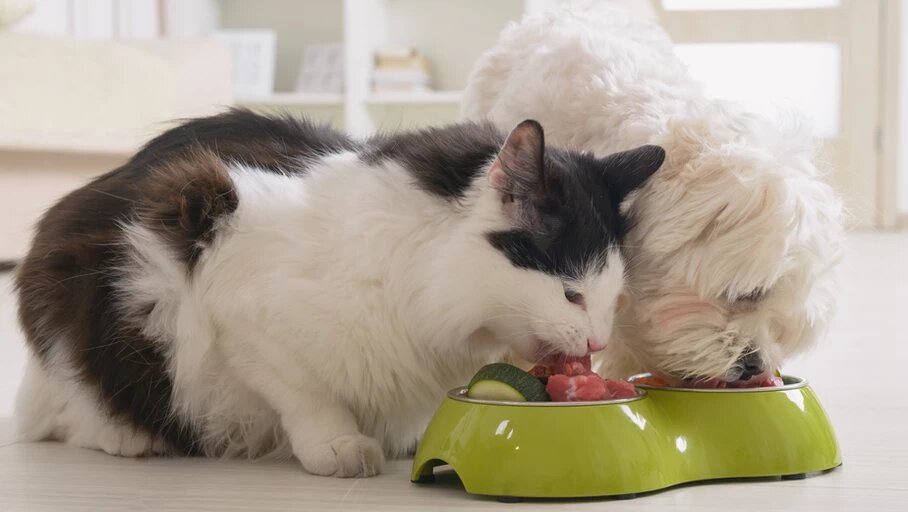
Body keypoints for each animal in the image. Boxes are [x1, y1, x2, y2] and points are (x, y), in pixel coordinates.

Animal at [12, 111, 668, 476]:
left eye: (614, 299)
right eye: (572, 296)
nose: (598, 343)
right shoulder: (235, 304)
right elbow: (305, 392)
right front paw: (339, 445)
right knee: (78, 404)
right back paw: (126, 437)